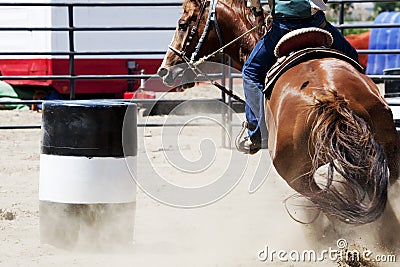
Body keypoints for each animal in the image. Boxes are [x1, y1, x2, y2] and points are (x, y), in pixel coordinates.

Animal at [158, 0, 398, 227]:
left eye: (182, 24)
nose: (164, 70)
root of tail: (329, 97)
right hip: (386, 149)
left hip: (296, 176)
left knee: (328, 203)